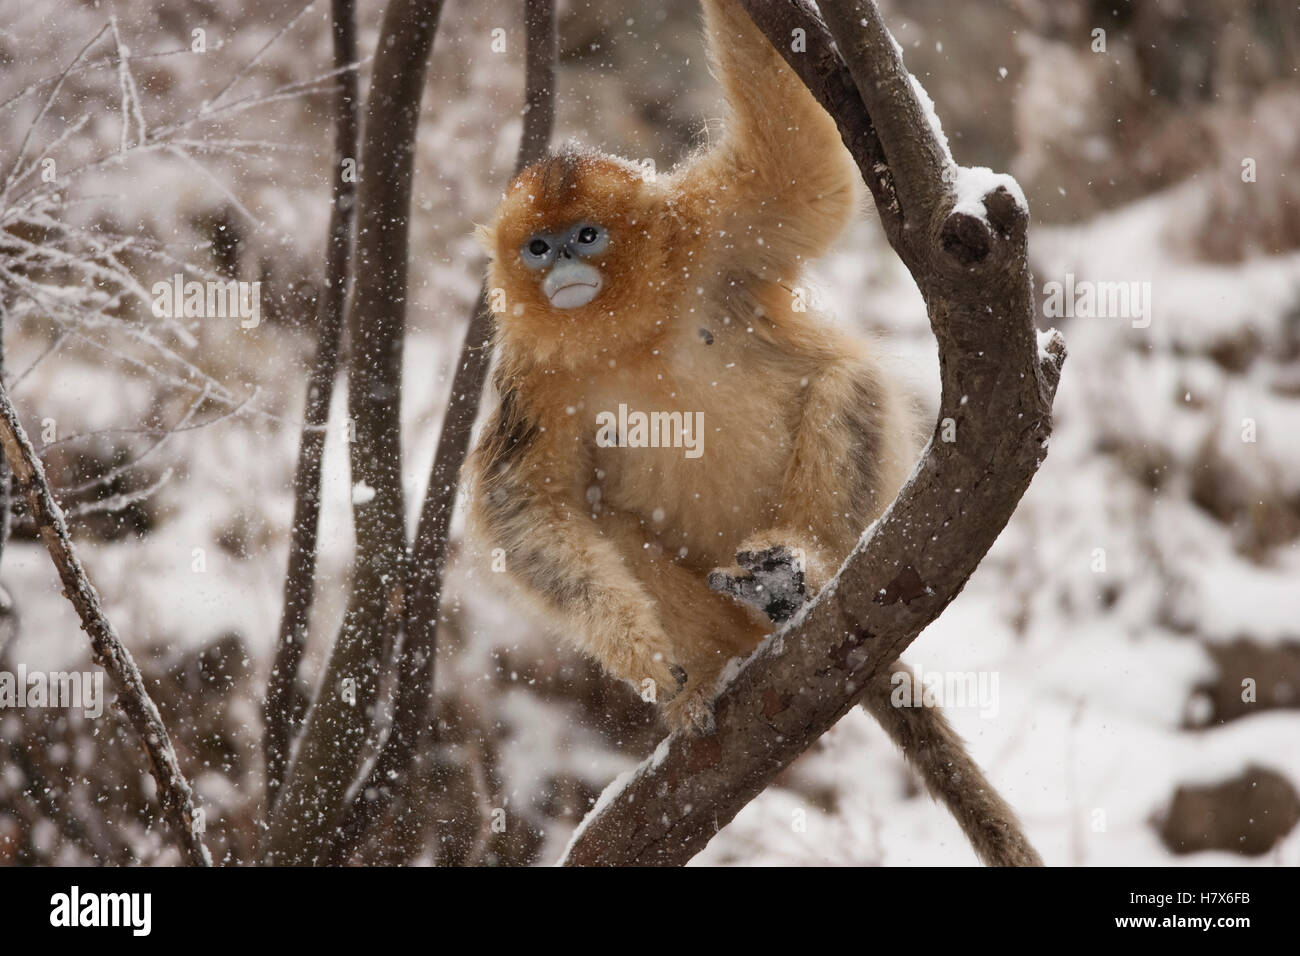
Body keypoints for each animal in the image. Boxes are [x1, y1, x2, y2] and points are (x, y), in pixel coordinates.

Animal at [466, 0, 1042, 866]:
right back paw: (708, 676)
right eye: (537, 246)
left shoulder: (712, 234)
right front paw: (641, 652)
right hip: (714, 617)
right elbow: (525, 510)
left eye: (587, 235)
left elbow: (798, 169)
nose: (562, 265)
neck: (622, 331)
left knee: (848, 381)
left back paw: (794, 576)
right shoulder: (530, 375)